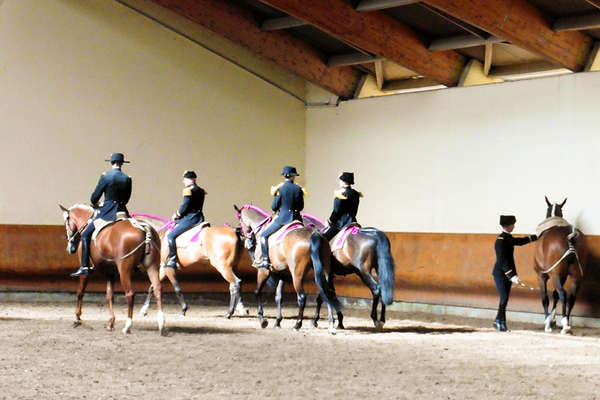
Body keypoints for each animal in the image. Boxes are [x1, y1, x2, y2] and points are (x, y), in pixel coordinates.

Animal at [59, 203, 165, 334]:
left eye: (66, 222)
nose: (70, 247)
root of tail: (144, 229)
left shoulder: (85, 272)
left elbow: (80, 291)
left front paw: (77, 317)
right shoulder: (111, 273)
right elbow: (109, 295)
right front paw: (111, 322)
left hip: (125, 270)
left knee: (130, 293)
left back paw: (127, 326)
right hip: (152, 267)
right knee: (157, 289)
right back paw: (161, 323)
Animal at [536, 198, 584, 334]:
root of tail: (570, 238)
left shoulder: (542, 276)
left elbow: (545, 298)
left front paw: (547, 323)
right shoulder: (562, 276)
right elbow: (555, 295)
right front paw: (552, 320)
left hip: (555, 276)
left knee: (563, 293)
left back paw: (564, 323)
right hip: (575, 277)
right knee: (571, 297)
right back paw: (566, 323)